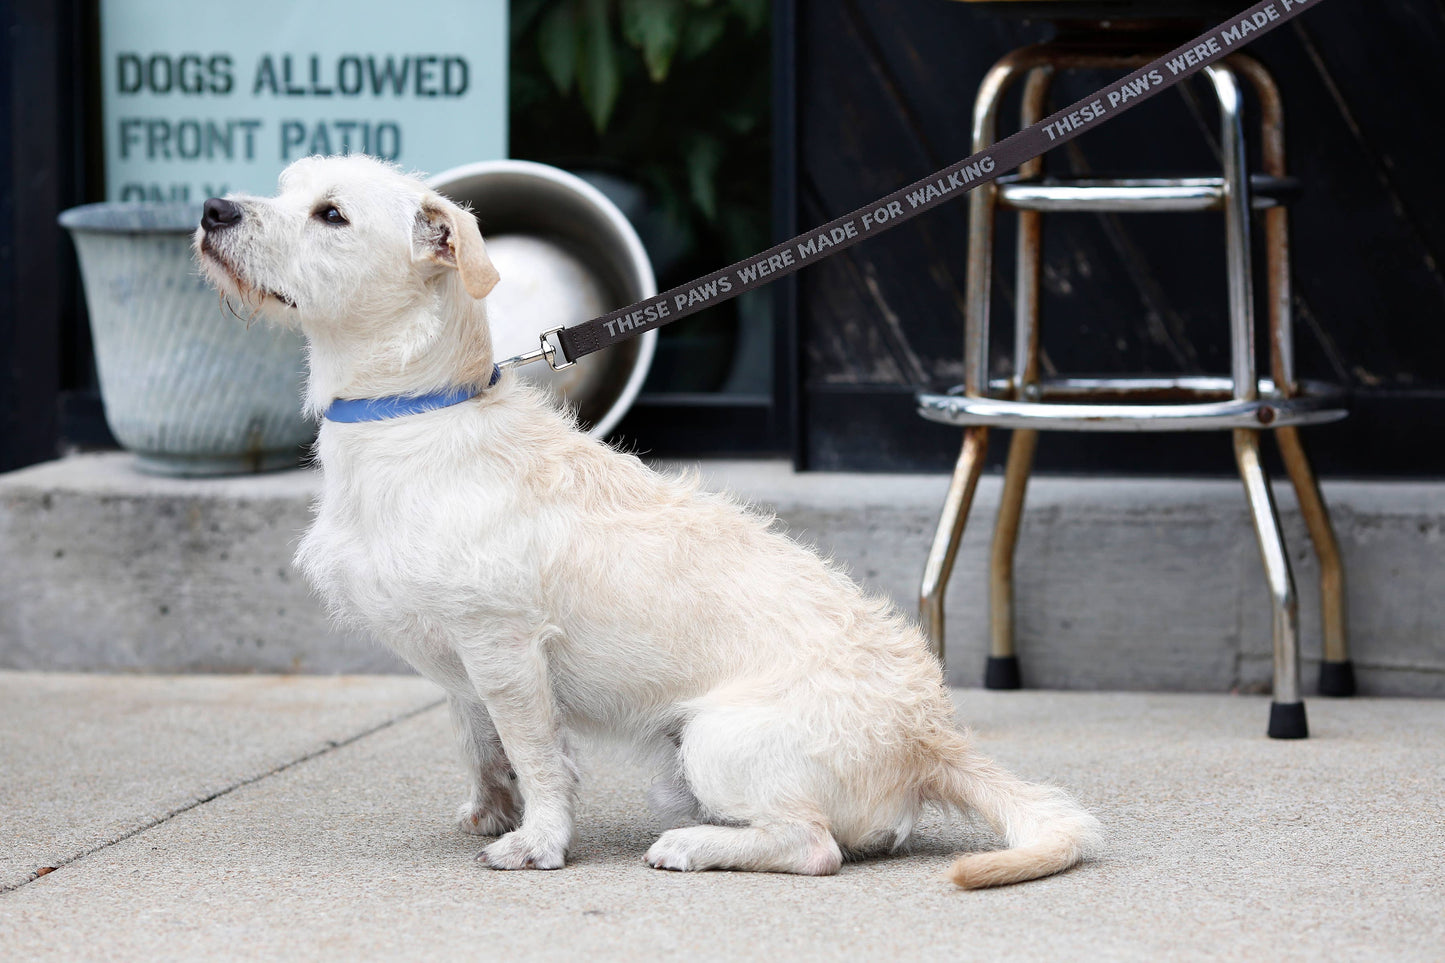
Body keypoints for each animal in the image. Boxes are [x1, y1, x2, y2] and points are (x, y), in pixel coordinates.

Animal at [189, 155, 1092, 884]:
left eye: (331, 215)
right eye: (286, 186)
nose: (212, 209)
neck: (413, 410)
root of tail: (929, 738)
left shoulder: (502, 648)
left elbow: (536, 754)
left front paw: (539, 841)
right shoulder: (462, 663)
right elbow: (478, 741)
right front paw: (491, 810)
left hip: (717, 740)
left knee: (812, 844)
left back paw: (694, 846)